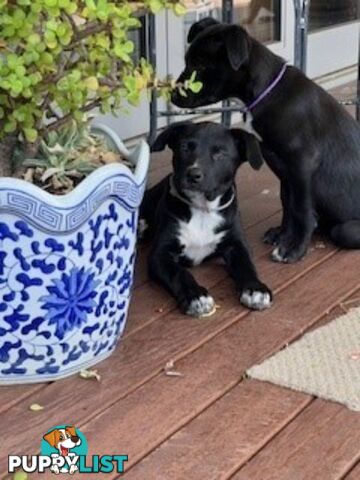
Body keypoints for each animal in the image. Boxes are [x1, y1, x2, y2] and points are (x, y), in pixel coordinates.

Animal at [141, 122, 272, 316]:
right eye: (184, 147)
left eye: (220, 153)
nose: (193, 174)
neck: (203, 209)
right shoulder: (160, 254)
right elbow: (180, 273)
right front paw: (196, 296)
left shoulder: (237, 245)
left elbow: (246, 265)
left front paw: (255, 289)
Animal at [171, 16, 360, 262]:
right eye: (187, 61)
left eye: (202, 66)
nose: (172, 96)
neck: (267, 92)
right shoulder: (285, 170)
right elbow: (287, 202)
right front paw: (282, 234)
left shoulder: (301, 163)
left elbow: (301, 208)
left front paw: (294, 248)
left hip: (347, 229)